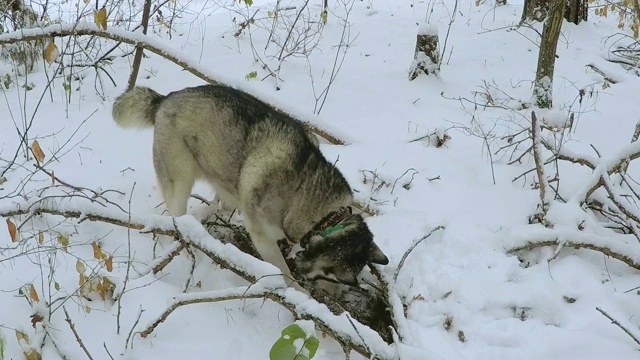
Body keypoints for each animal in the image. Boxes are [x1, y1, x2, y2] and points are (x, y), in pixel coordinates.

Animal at [112, 84, 388, 286]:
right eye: (331, 273)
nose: (310, 281)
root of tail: (166, 98)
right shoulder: (263, 236)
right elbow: (282, 271)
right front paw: (298, 294)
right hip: (180, 177)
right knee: (177, 213)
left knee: (221, 201)